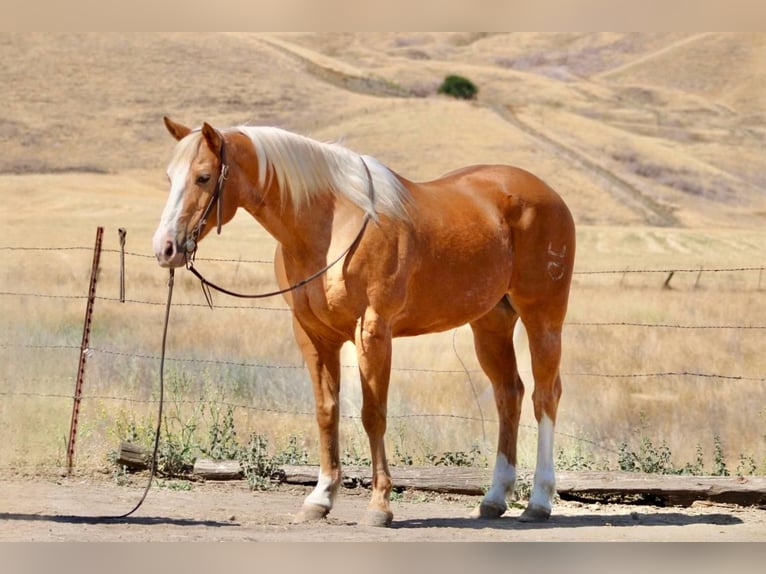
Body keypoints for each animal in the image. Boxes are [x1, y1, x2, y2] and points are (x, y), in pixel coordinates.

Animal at [153, 117, 576, 527]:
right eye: (169, 176)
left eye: (203, 176)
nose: (165, 248)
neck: (331, 225)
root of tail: (549, 196)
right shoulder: (313, 335)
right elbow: (327, 411)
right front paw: (319, 499)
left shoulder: (372, 332)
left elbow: (373, 415)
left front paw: (380, 506)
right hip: (490, 325)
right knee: (509, 395)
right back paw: (493, 499)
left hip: (543, 318)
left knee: (545, 396)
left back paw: (539, 501)